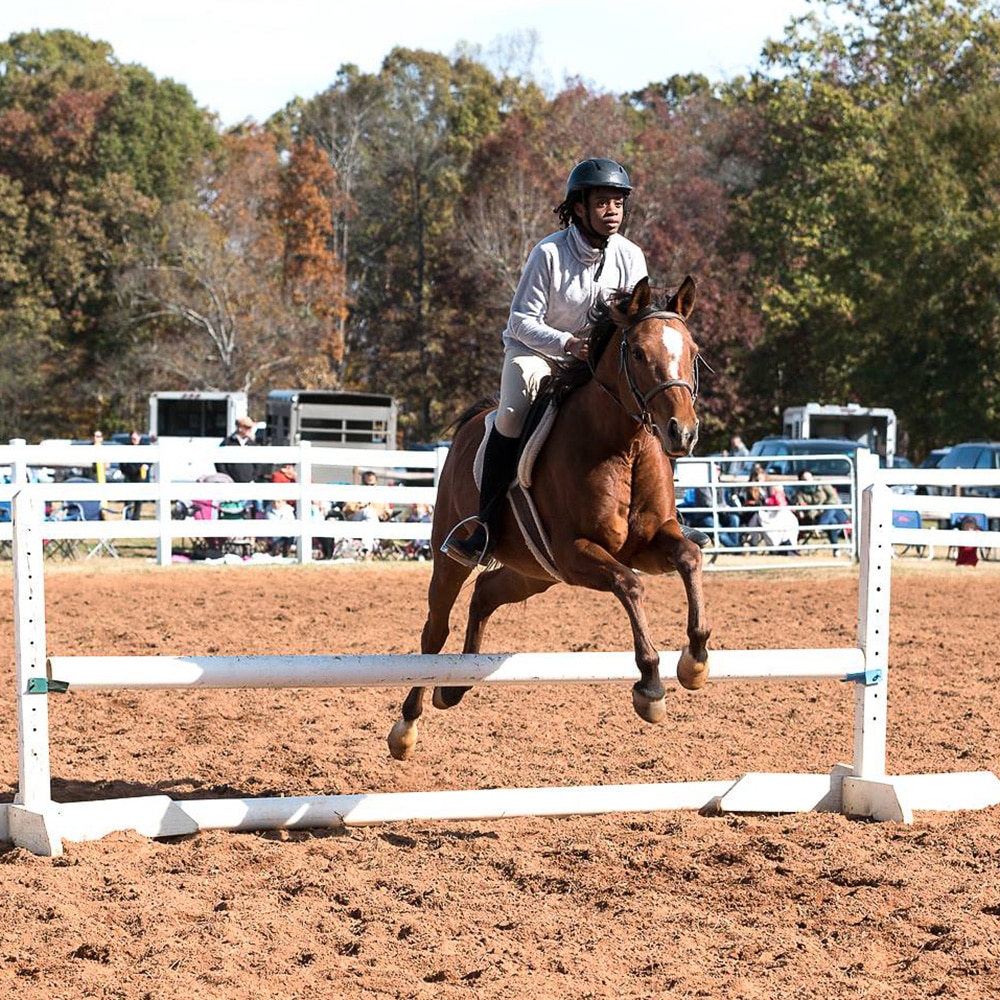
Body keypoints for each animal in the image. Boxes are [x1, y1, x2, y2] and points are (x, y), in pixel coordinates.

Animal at [388, 274, 712, 756]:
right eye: (638, 353)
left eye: (692, 352)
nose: (682, 433)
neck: (624, 446)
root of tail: (473, 422)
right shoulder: (576, 554)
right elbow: (629, 585)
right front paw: (651, 685)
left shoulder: (648, 545)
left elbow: (689, 557)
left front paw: (694, 662)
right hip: (455, 557)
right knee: (435, 630)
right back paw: (407, 726)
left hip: (536, 572)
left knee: (485, 593)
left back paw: (456, 685)